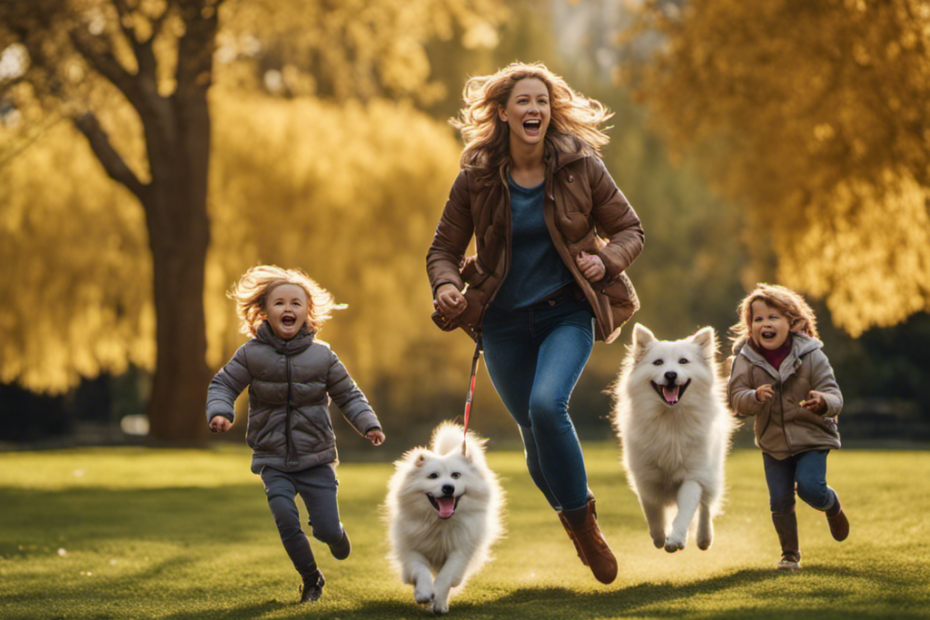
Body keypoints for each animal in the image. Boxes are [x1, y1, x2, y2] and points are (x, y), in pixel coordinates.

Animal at [382, 422, 504, 616]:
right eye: (433, 476)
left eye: (456, 475)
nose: (448, 487)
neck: (440, 524)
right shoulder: (410, 548)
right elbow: (420, 569)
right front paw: (423, 592)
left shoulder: (462, 549)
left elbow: (447, 575)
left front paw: (438, 598)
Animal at [612, 324, 736, 552]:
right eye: (658, 362)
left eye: (683, 361)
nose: (670, 374)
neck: (670, 419)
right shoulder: (645, 476)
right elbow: (652, 510)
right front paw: (659, 537)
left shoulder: (693, 474)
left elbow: (687, 509)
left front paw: (676, 539)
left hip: (711, 472)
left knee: (706, 505)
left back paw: (704, 537)